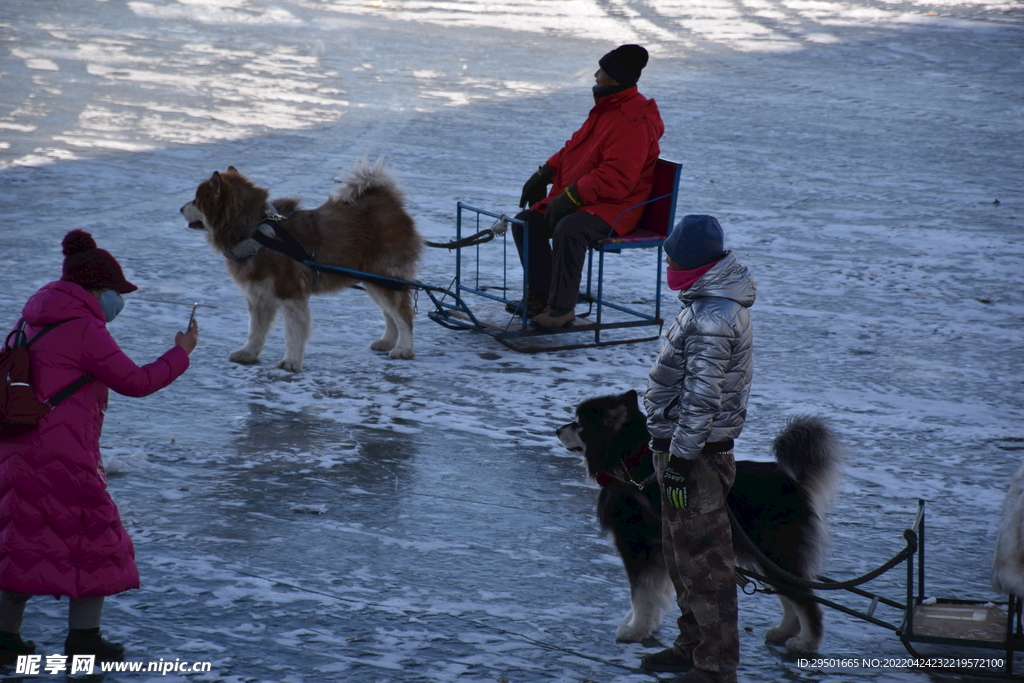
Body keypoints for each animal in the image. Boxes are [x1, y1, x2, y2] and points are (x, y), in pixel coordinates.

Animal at [182, 158, 421, 374]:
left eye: (196, 200)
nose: (180, 208)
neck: (256, 233)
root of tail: (388, 200)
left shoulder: (290, 295)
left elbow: (293, 334)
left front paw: (291, 362)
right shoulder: (259, 296)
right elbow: (255, 331)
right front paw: (248, 353)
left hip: (384, 277)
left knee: (403, 315)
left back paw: (404, 349)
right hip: (374, 281)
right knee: (389, 314)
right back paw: (388, 341)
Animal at [561, 389, 839, 651]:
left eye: (578, 424)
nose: (557, 430)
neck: (631, 470)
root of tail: (795, 481)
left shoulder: (638, 548)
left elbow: (640, 593)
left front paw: (635, 629)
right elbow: (652, 593)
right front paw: (643, 624)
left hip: (777, 554)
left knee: (806, 601)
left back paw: (806, 642)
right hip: (765, 558)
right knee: (789, 597)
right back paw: (783, 631)